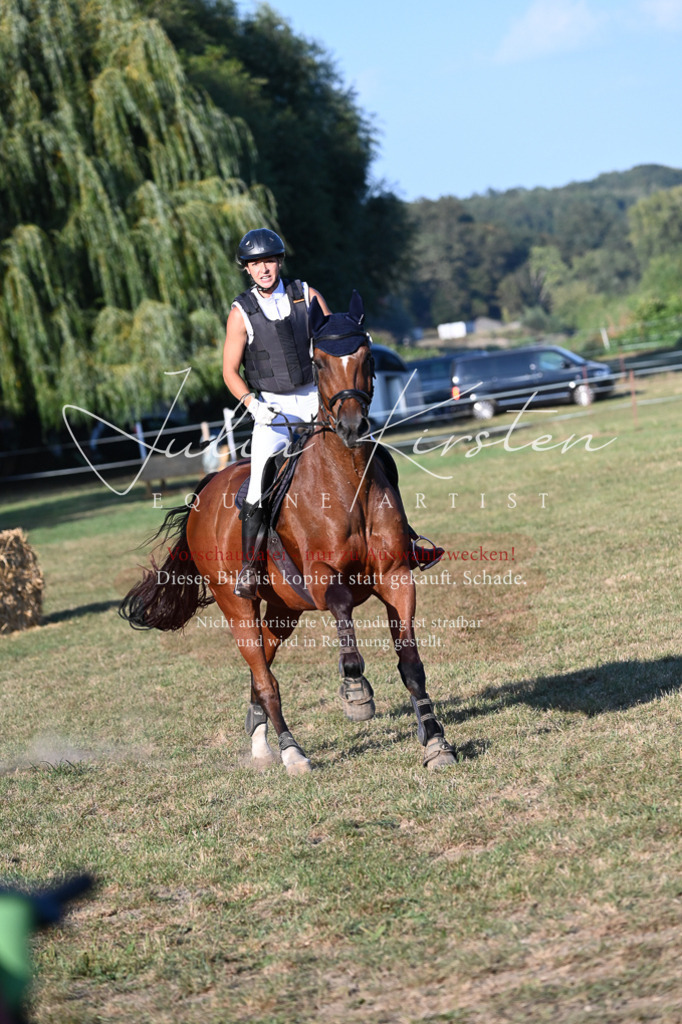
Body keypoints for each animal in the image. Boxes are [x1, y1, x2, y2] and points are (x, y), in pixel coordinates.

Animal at [120, 291, 456, 775]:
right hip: (238, 607)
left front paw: (436, 742)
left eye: (368, 357)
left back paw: (260, 738)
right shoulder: (319, 578)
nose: (352, 427)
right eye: (318, 361)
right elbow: (341, 606)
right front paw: (355, 692)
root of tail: (208, 487)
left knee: (261, 670)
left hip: (282, 611)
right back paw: (290, 750)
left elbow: (411, 664)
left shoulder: (396, 577)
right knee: (265, 676)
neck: (345, 481)